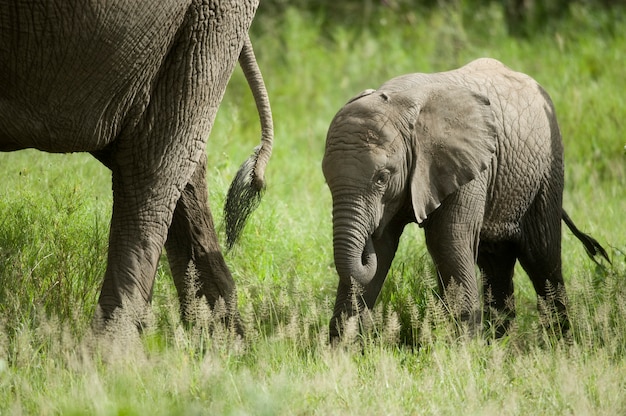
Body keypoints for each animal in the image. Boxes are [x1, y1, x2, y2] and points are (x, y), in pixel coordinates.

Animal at [324, 57, 608, 340]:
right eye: (327, 179)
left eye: (381, 178)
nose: (367, 244)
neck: (400, 102)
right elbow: (383, 249)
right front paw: (342, 347)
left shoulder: (464, 166)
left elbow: (448, 240)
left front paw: (462, 345)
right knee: (495, 261)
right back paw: (499, 341)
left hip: (547, 171)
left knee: (542, 257)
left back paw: (560, 341)